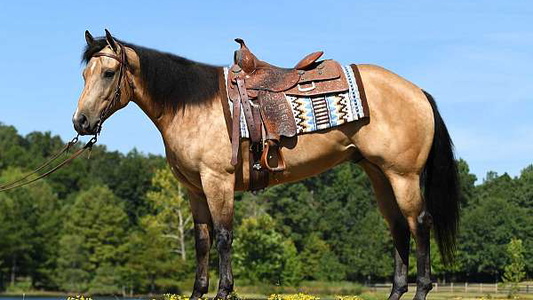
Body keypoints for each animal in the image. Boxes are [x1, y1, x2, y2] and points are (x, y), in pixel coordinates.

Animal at [72, 29, 460, 300]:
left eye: (108, 73)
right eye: (85, 75)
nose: (81, 122)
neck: (192, 105)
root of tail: (418, 92)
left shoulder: (218, 181)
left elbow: (224, 237)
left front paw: (223, 291)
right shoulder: (195, 190)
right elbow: (202, 242)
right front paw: (199, 291)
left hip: (403, 175)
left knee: (418, 224)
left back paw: (422, 288)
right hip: (379, 174)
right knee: (398, 228)